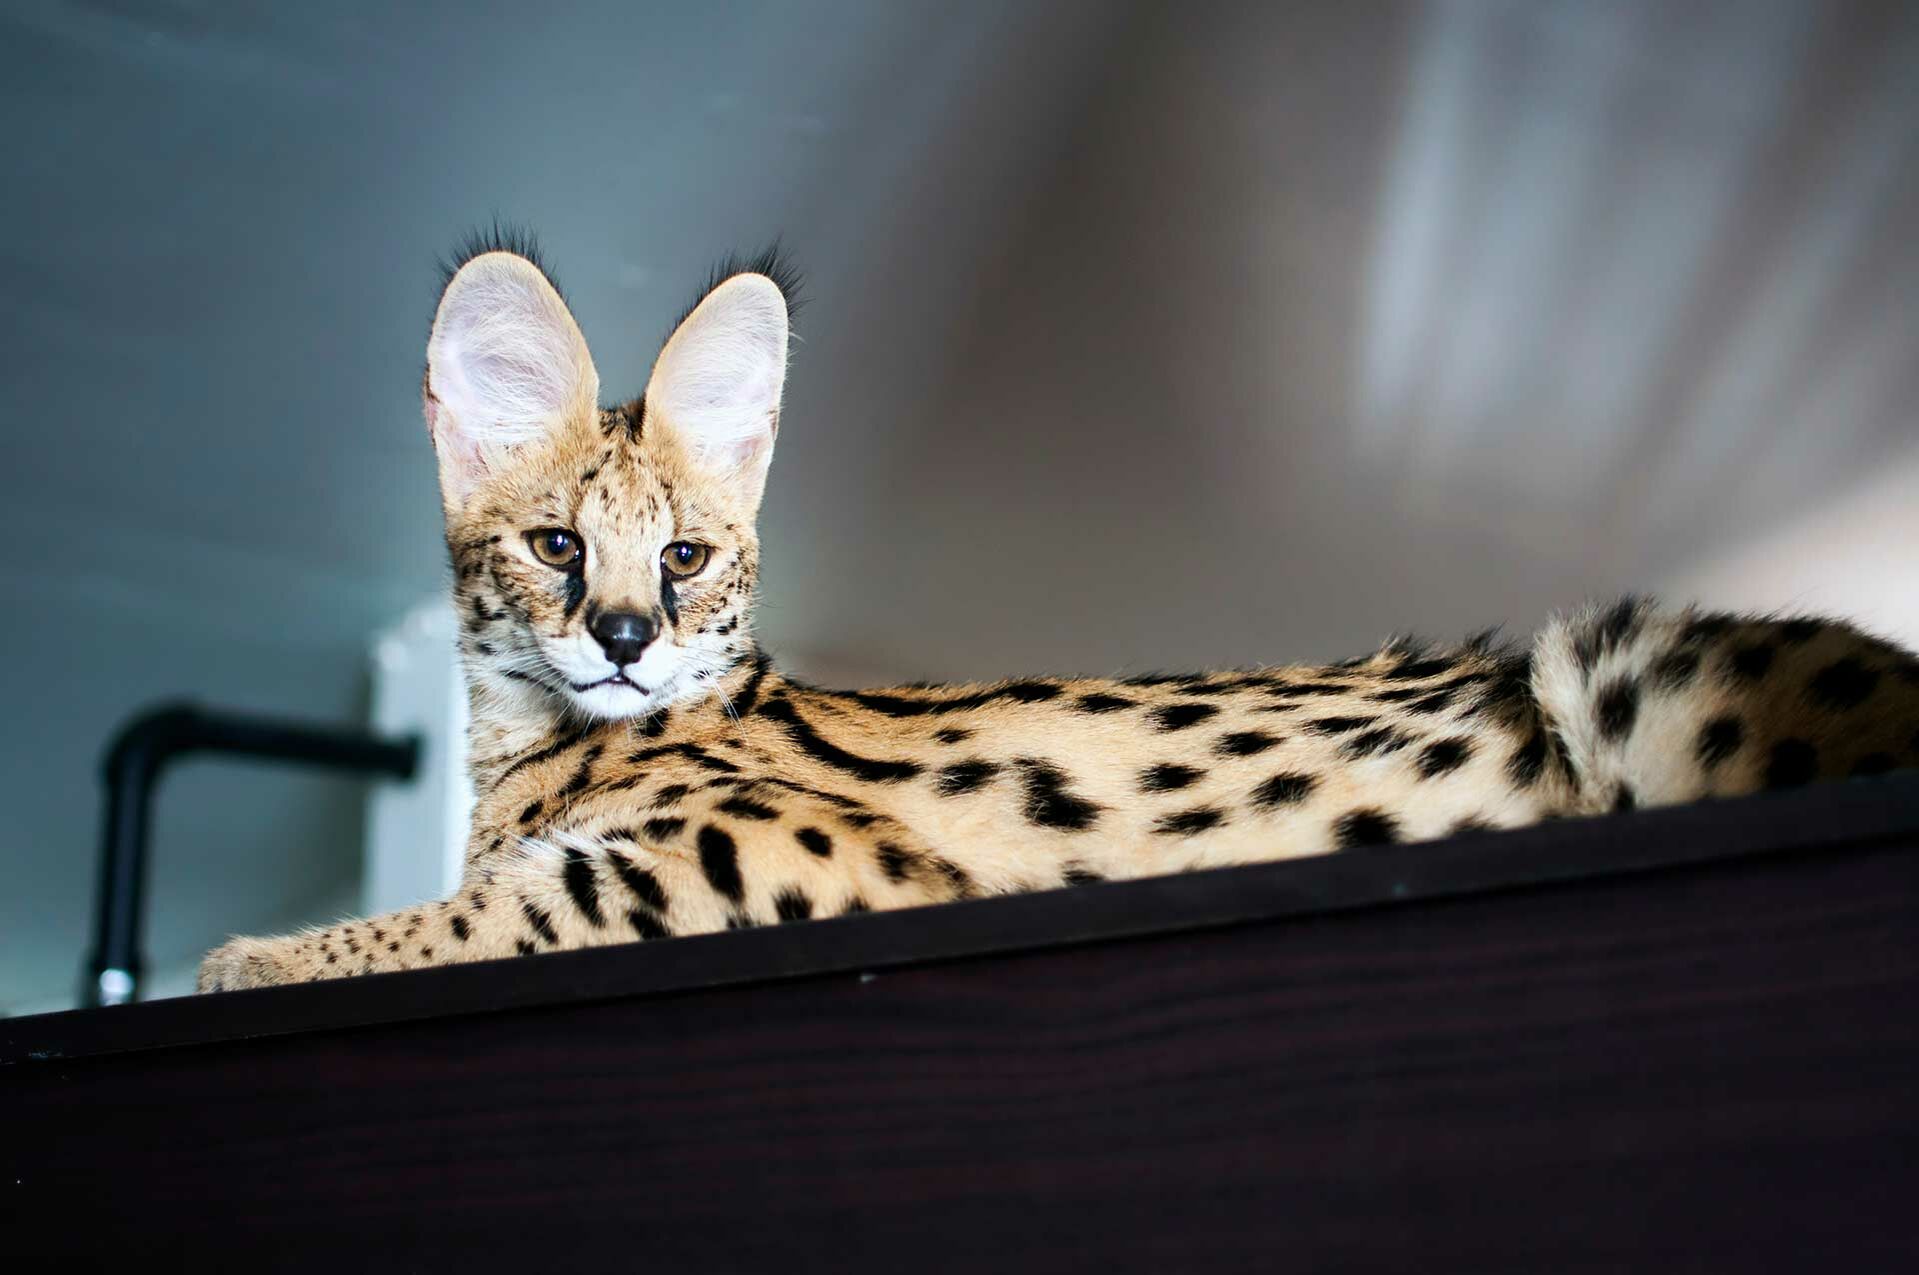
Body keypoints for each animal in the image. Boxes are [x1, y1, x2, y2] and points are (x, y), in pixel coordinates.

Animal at [194, 241, 1919, 998]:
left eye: (683, 557)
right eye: (556, 544)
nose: (621, 637)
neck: (530, 752)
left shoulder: (768, 863)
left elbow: (485, 914)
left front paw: (248, 954)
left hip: (1621, 668)